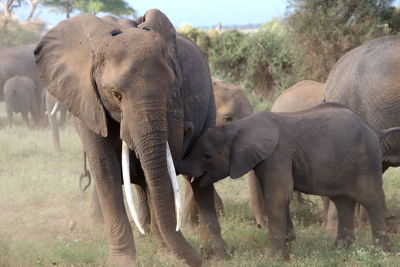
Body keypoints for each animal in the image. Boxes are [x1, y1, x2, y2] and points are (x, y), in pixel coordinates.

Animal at [34, 9, 225, 266]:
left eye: (171, 87)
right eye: (116, 94)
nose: (197, 260)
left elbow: (158, 171)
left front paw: (167, 255)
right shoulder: (87, 99)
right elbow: (105, 172)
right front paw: (124, 261)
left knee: (199, 180)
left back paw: (215, 252)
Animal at [179, 102, 396, 260]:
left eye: (207, 156)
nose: (192, 176)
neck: (237, 128)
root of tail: (375, 130)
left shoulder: (278, 153)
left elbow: (277, 195)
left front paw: (272, 259)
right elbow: (280, 197)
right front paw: (287, 249)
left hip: (366, 160)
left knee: (370, 199)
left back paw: (381, 253)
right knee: (343, 202)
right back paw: (340, 250)